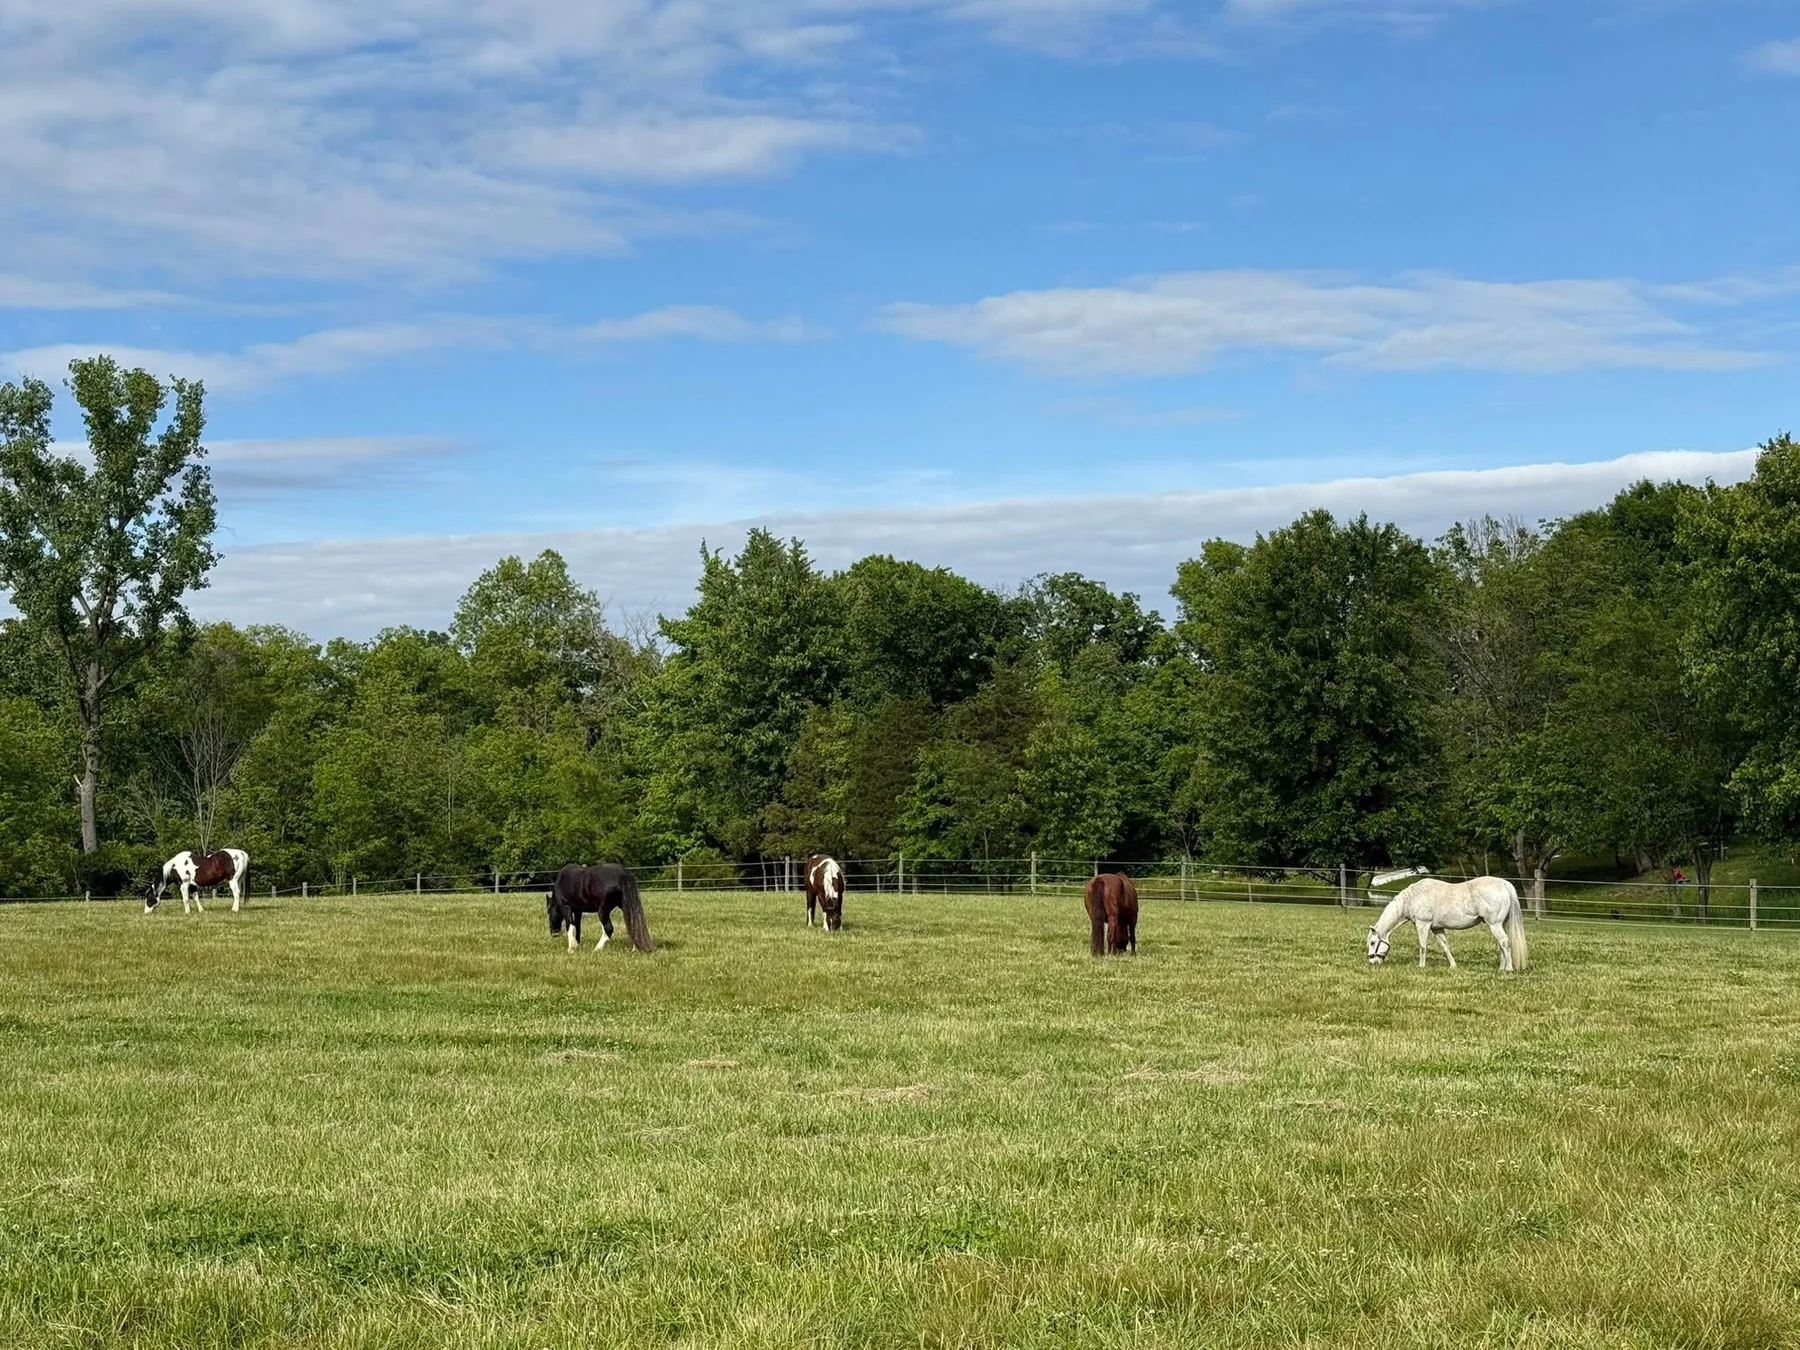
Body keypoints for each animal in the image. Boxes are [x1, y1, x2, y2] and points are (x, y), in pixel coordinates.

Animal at [1366, 875, 1529, 972]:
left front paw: (1421, 966)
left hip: (1494, 924)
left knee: (1505, 943)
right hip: (1500, 925)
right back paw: (1501, 968)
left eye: (1373, 943)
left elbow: (1423, 946)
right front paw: (1453, 966)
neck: (1413, 898)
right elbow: (1445, 947)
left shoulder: (1423, 924)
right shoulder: (1437, 928)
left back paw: (1508, 969)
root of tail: (1503, 883)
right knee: (1502, 944)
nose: (1372, 962)